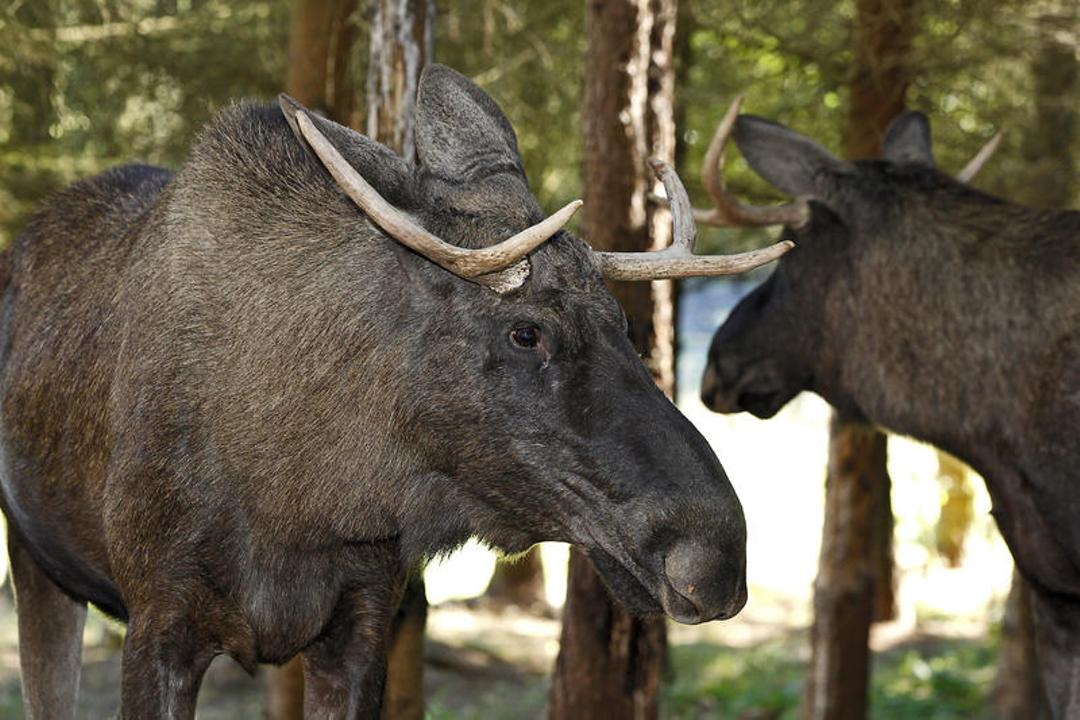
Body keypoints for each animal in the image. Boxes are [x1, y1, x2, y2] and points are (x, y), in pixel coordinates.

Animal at [0, 64, 790, 716]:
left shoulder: (363, 625)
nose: (717, 554)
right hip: (38, 563)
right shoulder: (160, 626)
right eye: (525, 332)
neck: (304, 500)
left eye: (626, 323)